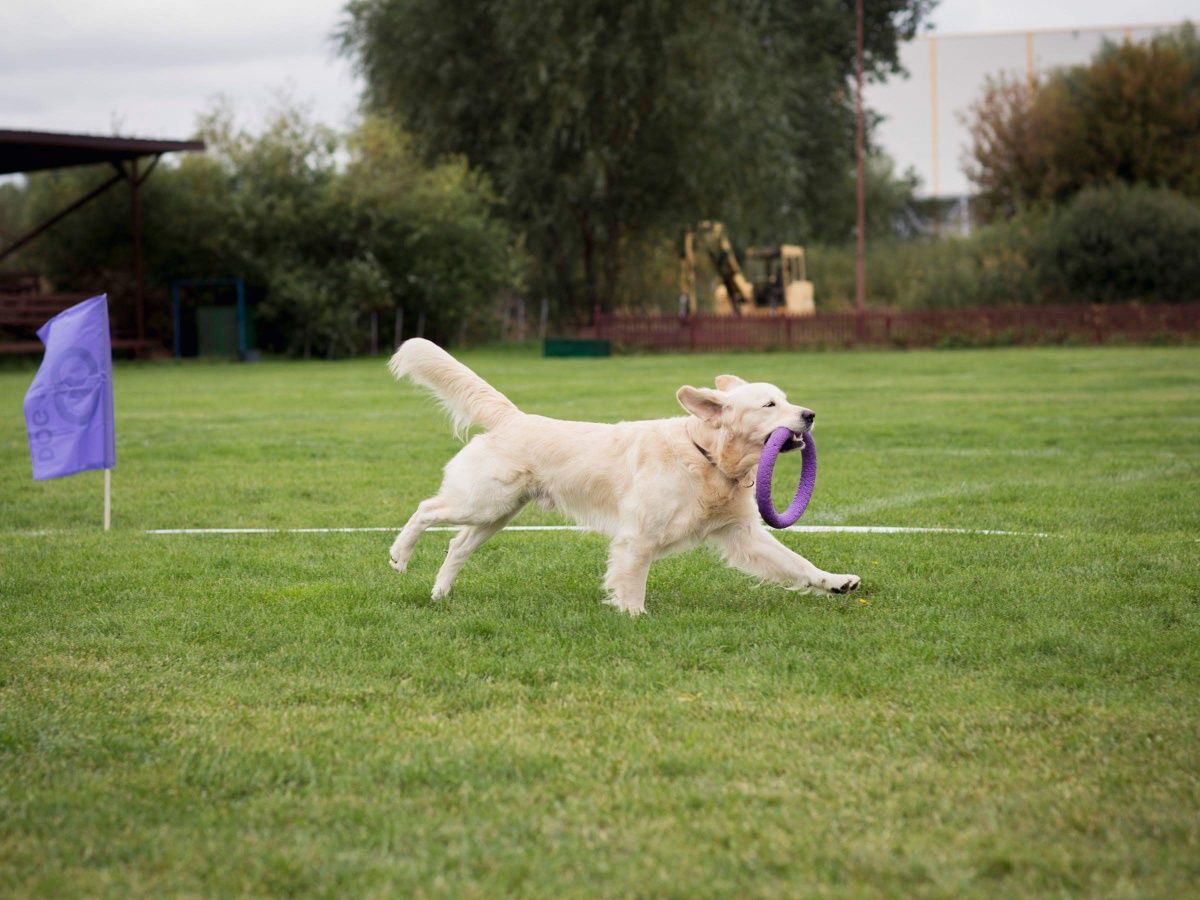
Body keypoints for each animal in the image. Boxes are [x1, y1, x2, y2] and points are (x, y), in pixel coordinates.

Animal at [388, 340, 859, 619]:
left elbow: (796, 562)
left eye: (787, 399)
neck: (705, 458)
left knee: (457, 545)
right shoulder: (638, 536)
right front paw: (633, 616)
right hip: (482, 501)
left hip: (496, 514)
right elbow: (633, 580)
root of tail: (512, 417)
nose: (809, 415)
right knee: (425, 510)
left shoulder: (741, 533)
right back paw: (399, 555)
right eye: (768, 404)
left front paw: (836, 581)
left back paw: (439, 594)